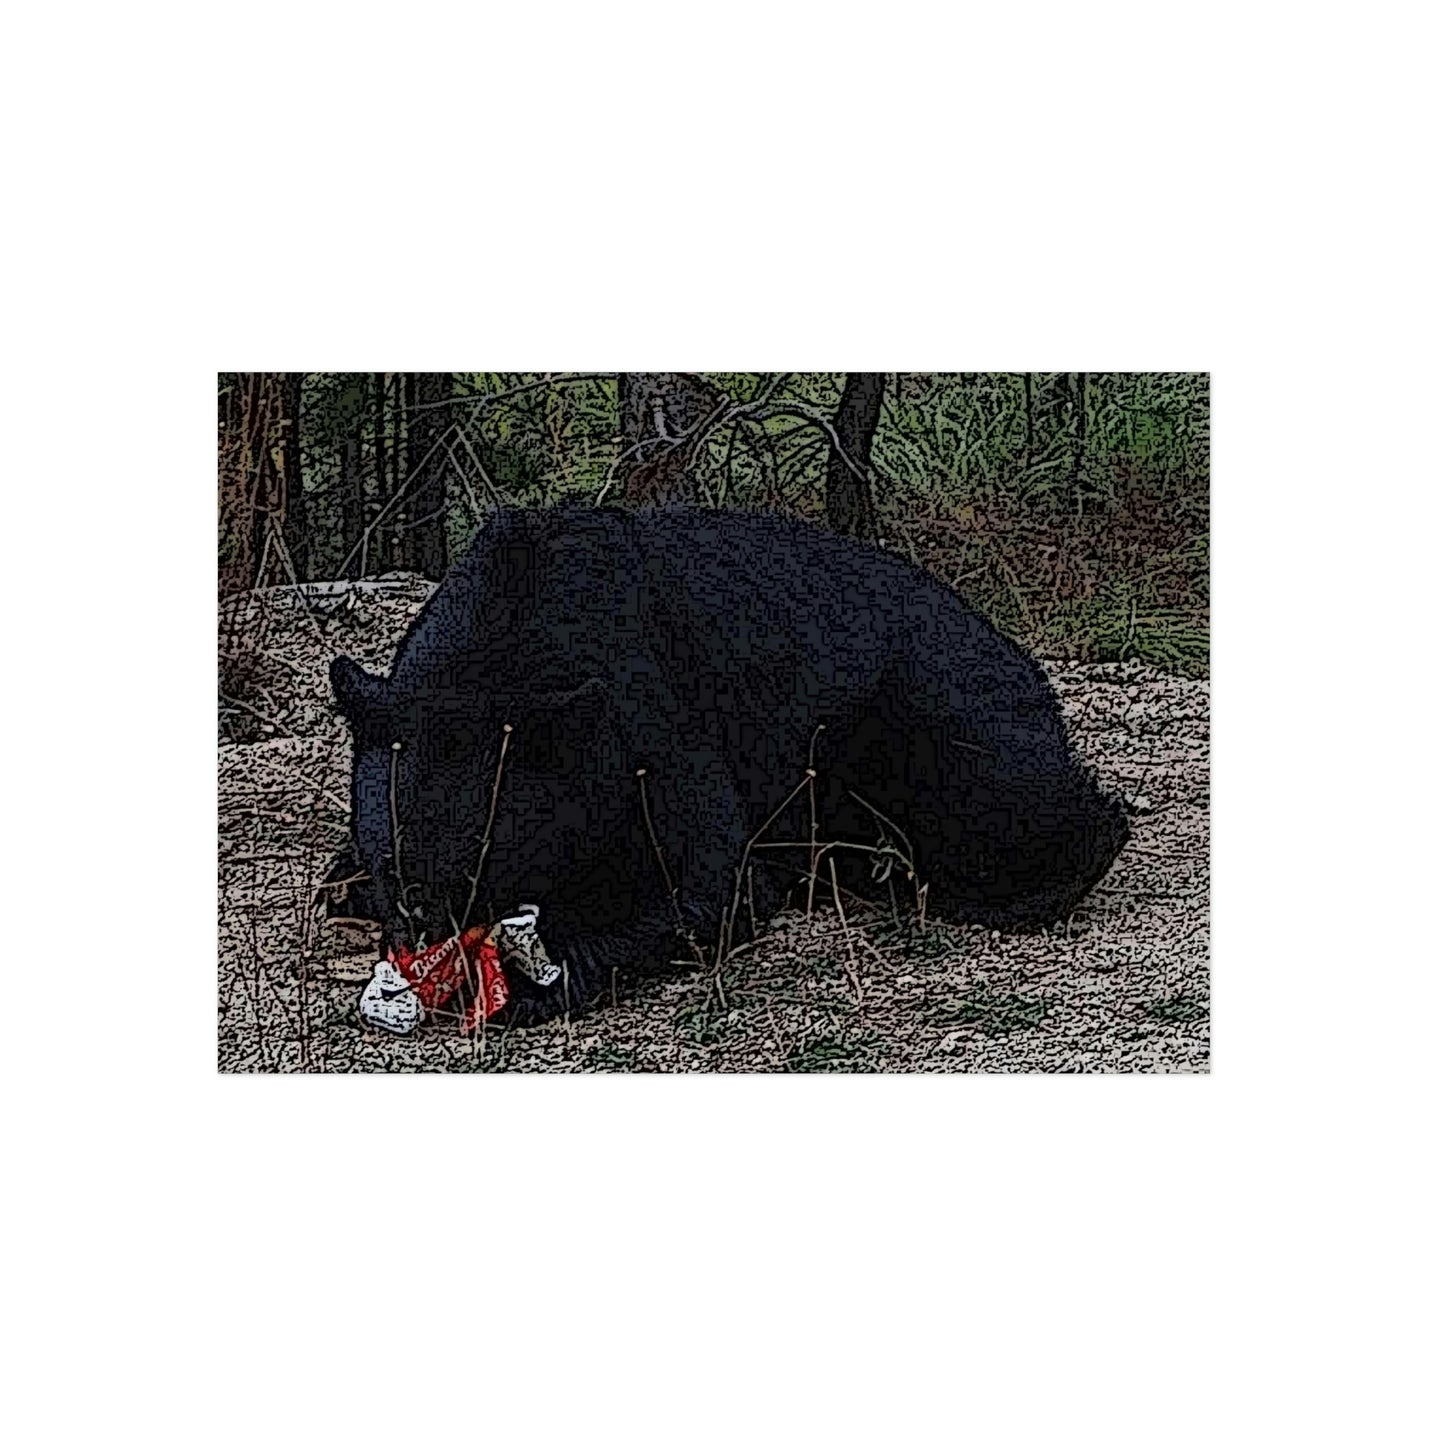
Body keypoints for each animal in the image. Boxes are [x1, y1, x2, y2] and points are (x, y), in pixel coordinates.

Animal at [330, 506, 1128, 1025]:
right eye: (398, 870)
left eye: (482, 869)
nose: (426, 945)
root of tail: (1027, 663)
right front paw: (351, 885)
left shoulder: (645, 710)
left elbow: (708, 878)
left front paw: (539, 979)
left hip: (927, 719)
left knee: (1013, 810)